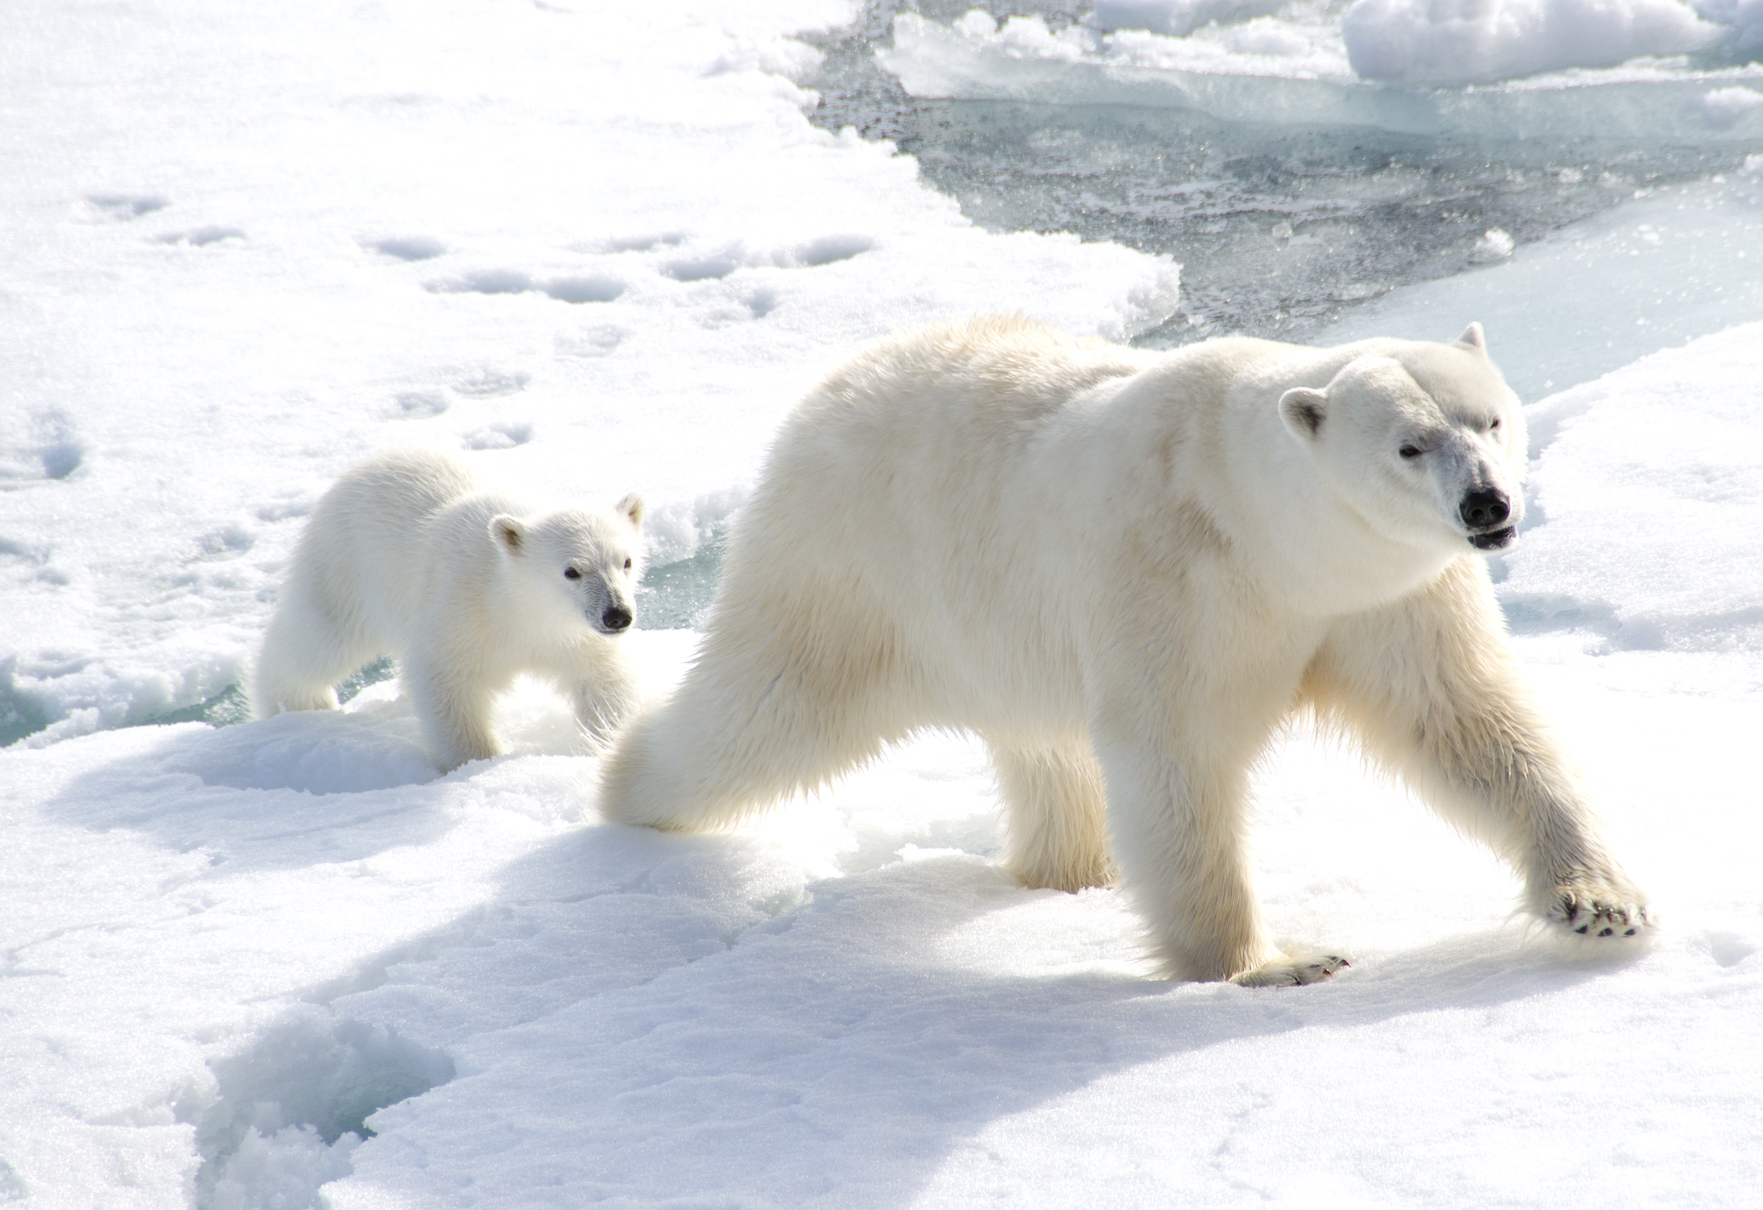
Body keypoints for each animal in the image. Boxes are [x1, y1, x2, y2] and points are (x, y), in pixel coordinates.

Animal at [254, 446, 647, 771]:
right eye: (572, 571)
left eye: (626, 561)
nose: (617, 615)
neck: (520, 605)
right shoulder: (461, 610)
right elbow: (447, 683)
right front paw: (480, 763)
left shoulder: (576, 636)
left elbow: (603, 683)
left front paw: (610, 747)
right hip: (346, 565)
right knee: (318, 639)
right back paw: (300, 707)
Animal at [599, 315, 1651, 986]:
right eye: (1407, 444)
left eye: (1490, 418)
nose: (1487, 505)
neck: (1268, 533)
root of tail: (834, 381)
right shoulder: (1172, 577)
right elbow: (1174, 753)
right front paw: (1272, 963)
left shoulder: (1387, 596)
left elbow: (1466, 723)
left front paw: (1599, 902)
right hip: (849, 569)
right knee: (761, 712)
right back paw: (621, 794)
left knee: (1045, 753)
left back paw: (1067, 873)